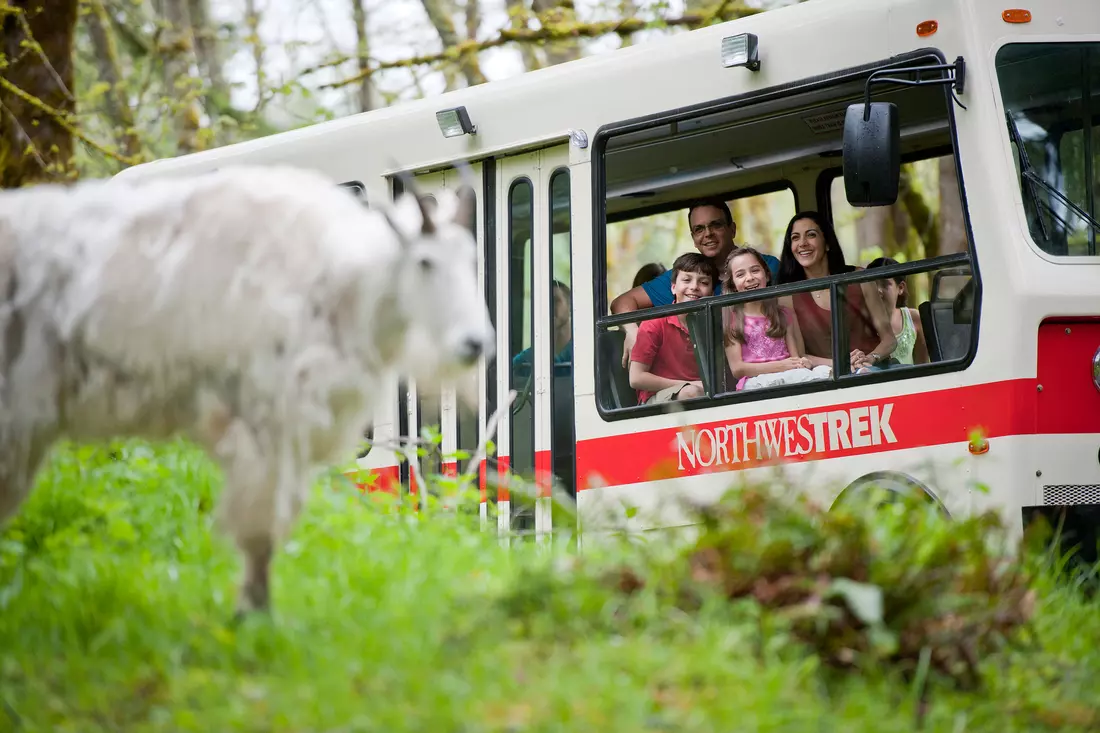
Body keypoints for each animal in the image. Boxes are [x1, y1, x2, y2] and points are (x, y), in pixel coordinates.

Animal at [0, 162, 492, 611]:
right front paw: (253, 621)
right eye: (425, 262)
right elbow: (260, 532)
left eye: (474, 260)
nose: (475, 343)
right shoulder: (267, 423)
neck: (344, 285)